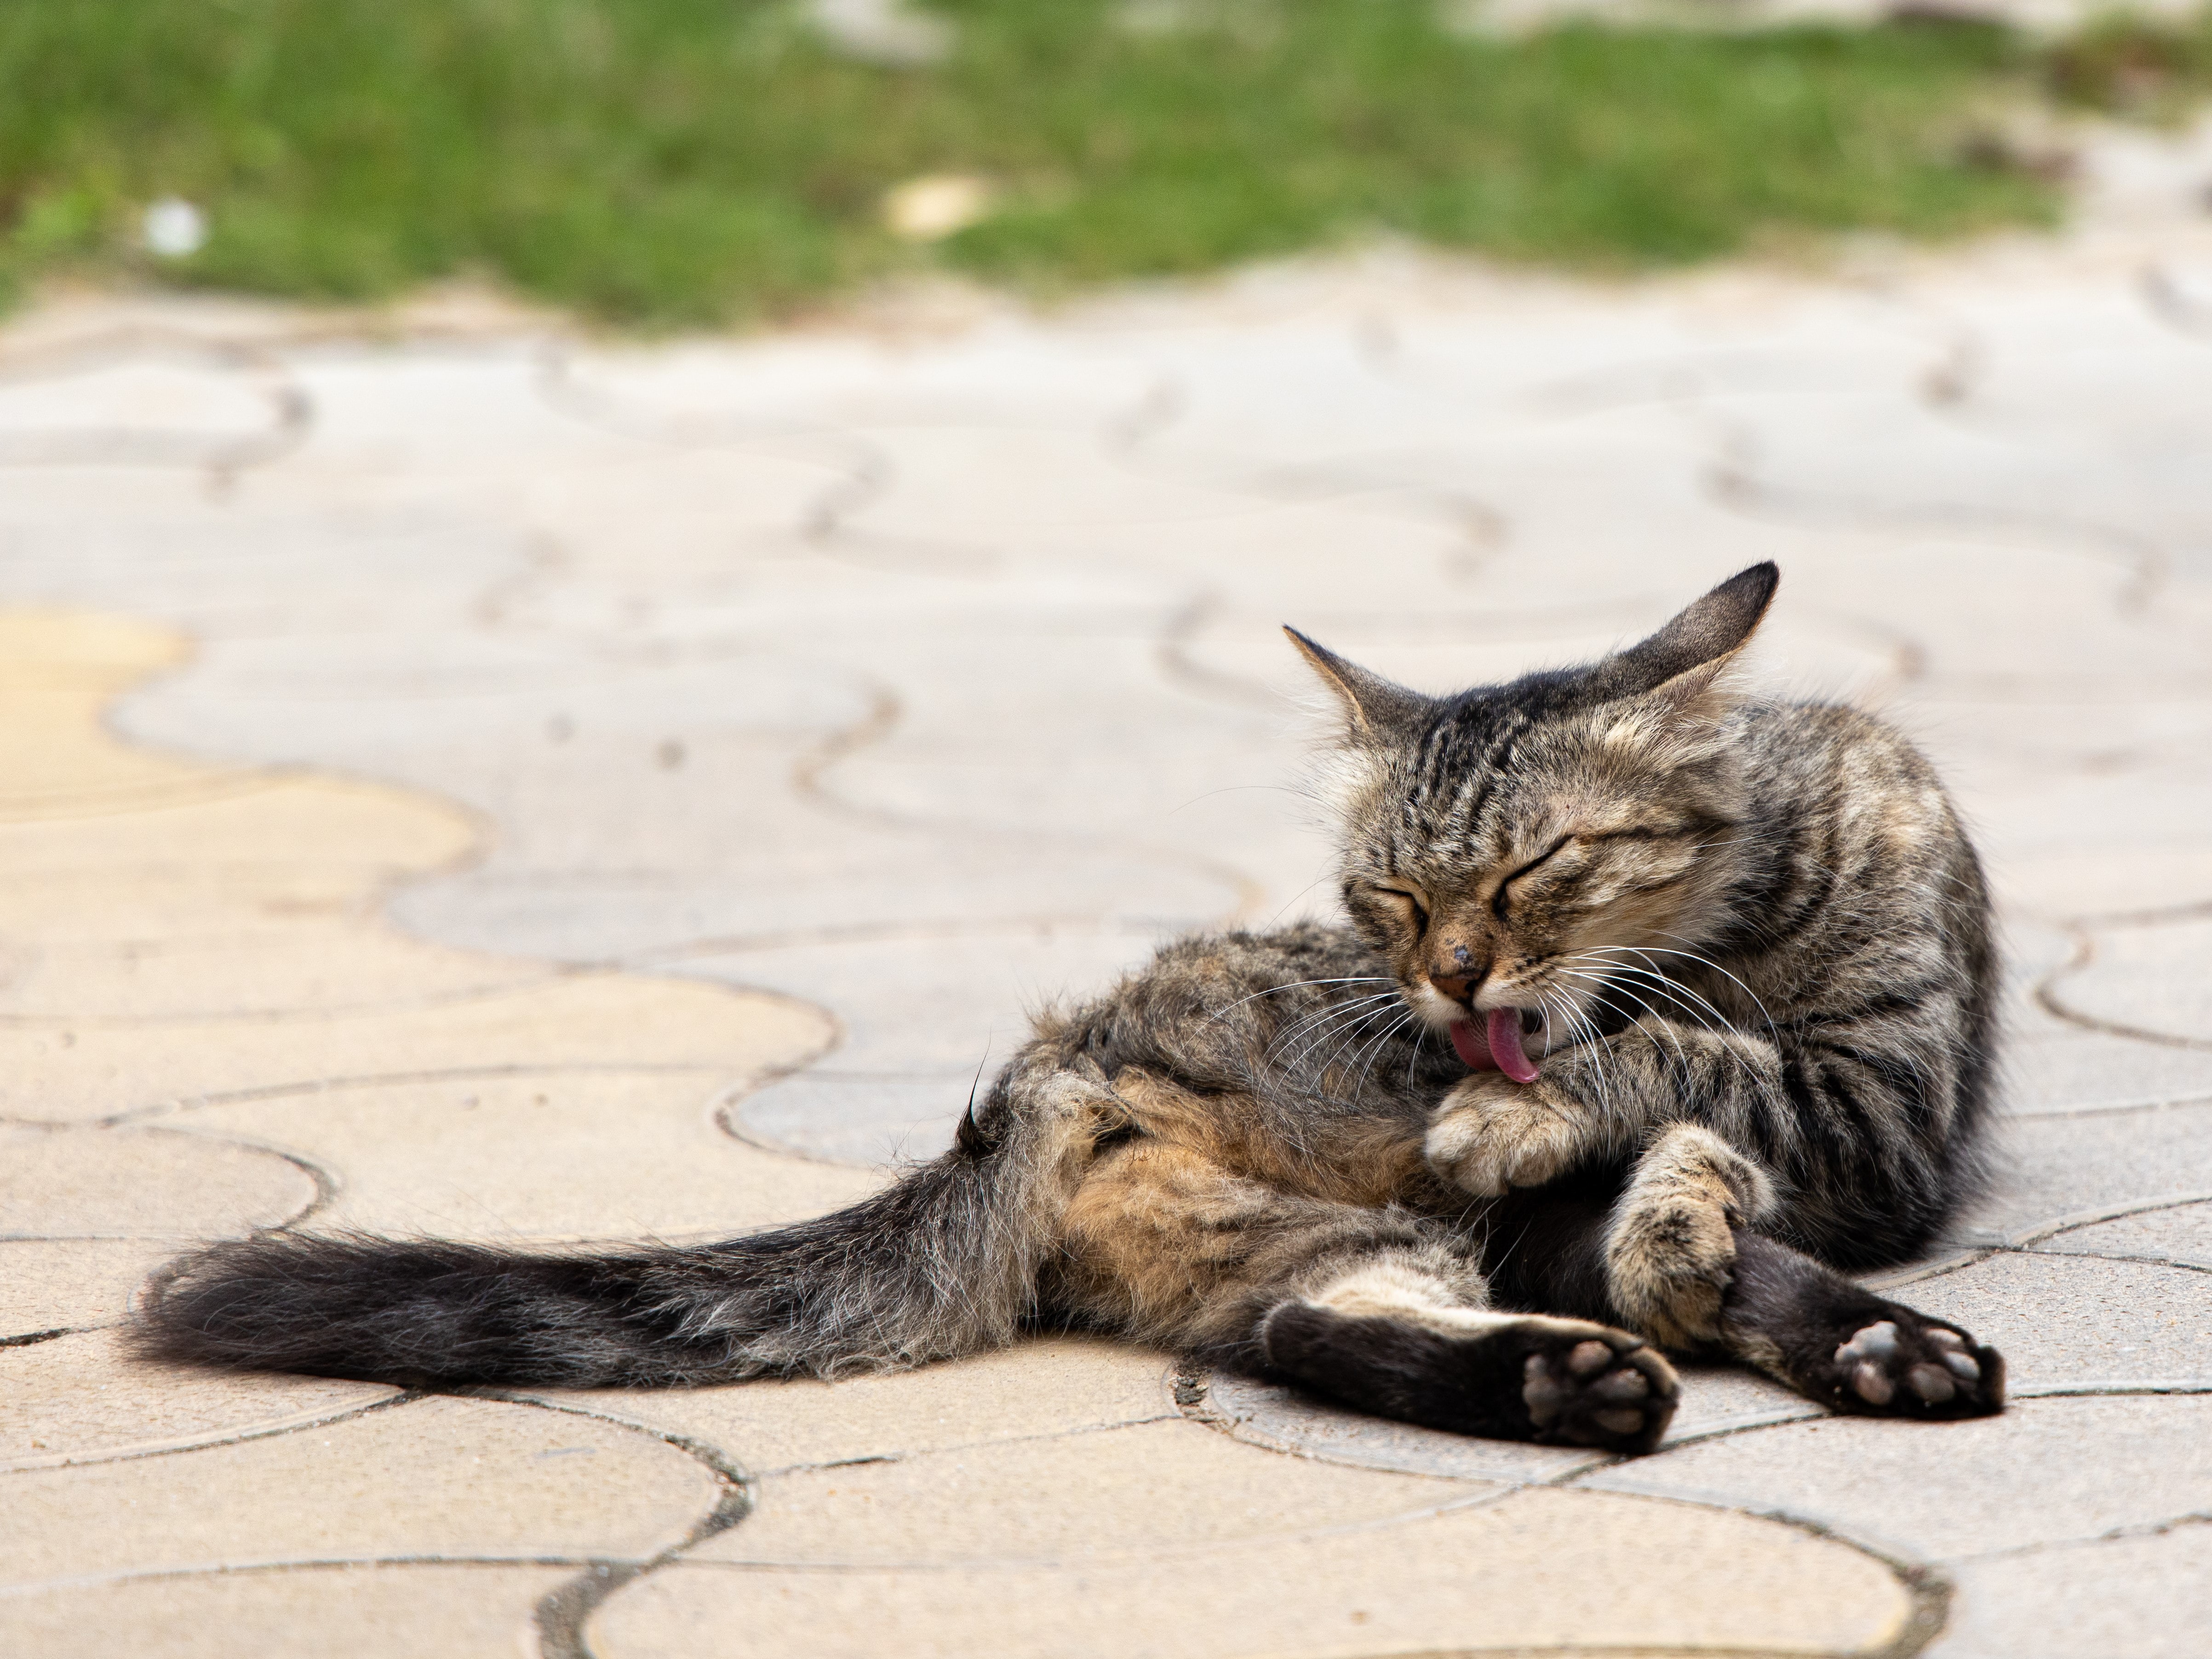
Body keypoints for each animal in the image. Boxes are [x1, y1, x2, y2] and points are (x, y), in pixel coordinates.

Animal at [138, 561, 2008, 1451]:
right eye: (1395, 896)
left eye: (1531, 868)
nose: (1449, 983)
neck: (1732, 919)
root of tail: (1047, 1067)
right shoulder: (1818, 1111)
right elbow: (1670, 1069)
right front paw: (1539, 1100)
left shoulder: (1878, 1105)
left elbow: (1684, 1067)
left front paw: (1579, 1112)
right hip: (1339, 1230)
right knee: (1326, 1326)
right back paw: (1591, 1374)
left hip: (1378, 1232)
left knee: (1395, 1305)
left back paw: (1849, 1341)